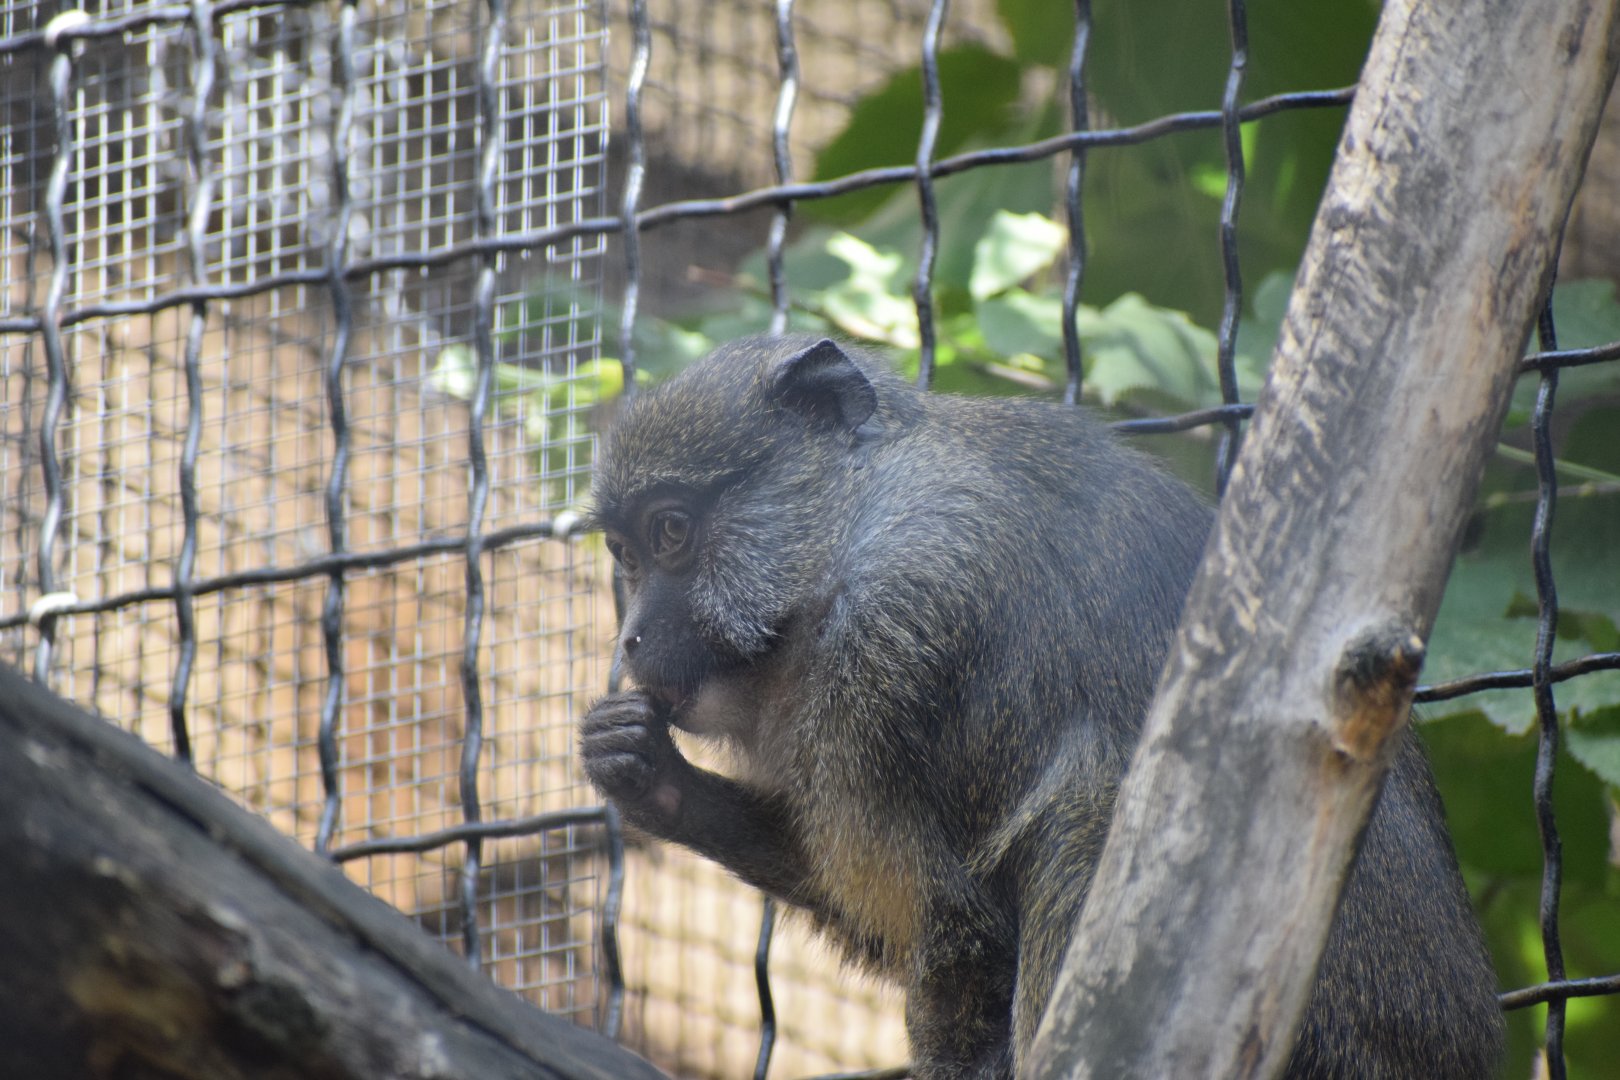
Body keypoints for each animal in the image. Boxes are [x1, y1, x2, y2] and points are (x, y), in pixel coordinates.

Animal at [579, 334, 1505, 1078]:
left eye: (672, 533)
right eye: (625, 554)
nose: (631, 639)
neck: (847, 533)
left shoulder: (900, 636)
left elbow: (958, 933)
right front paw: (650, 777)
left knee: (1087, 802)